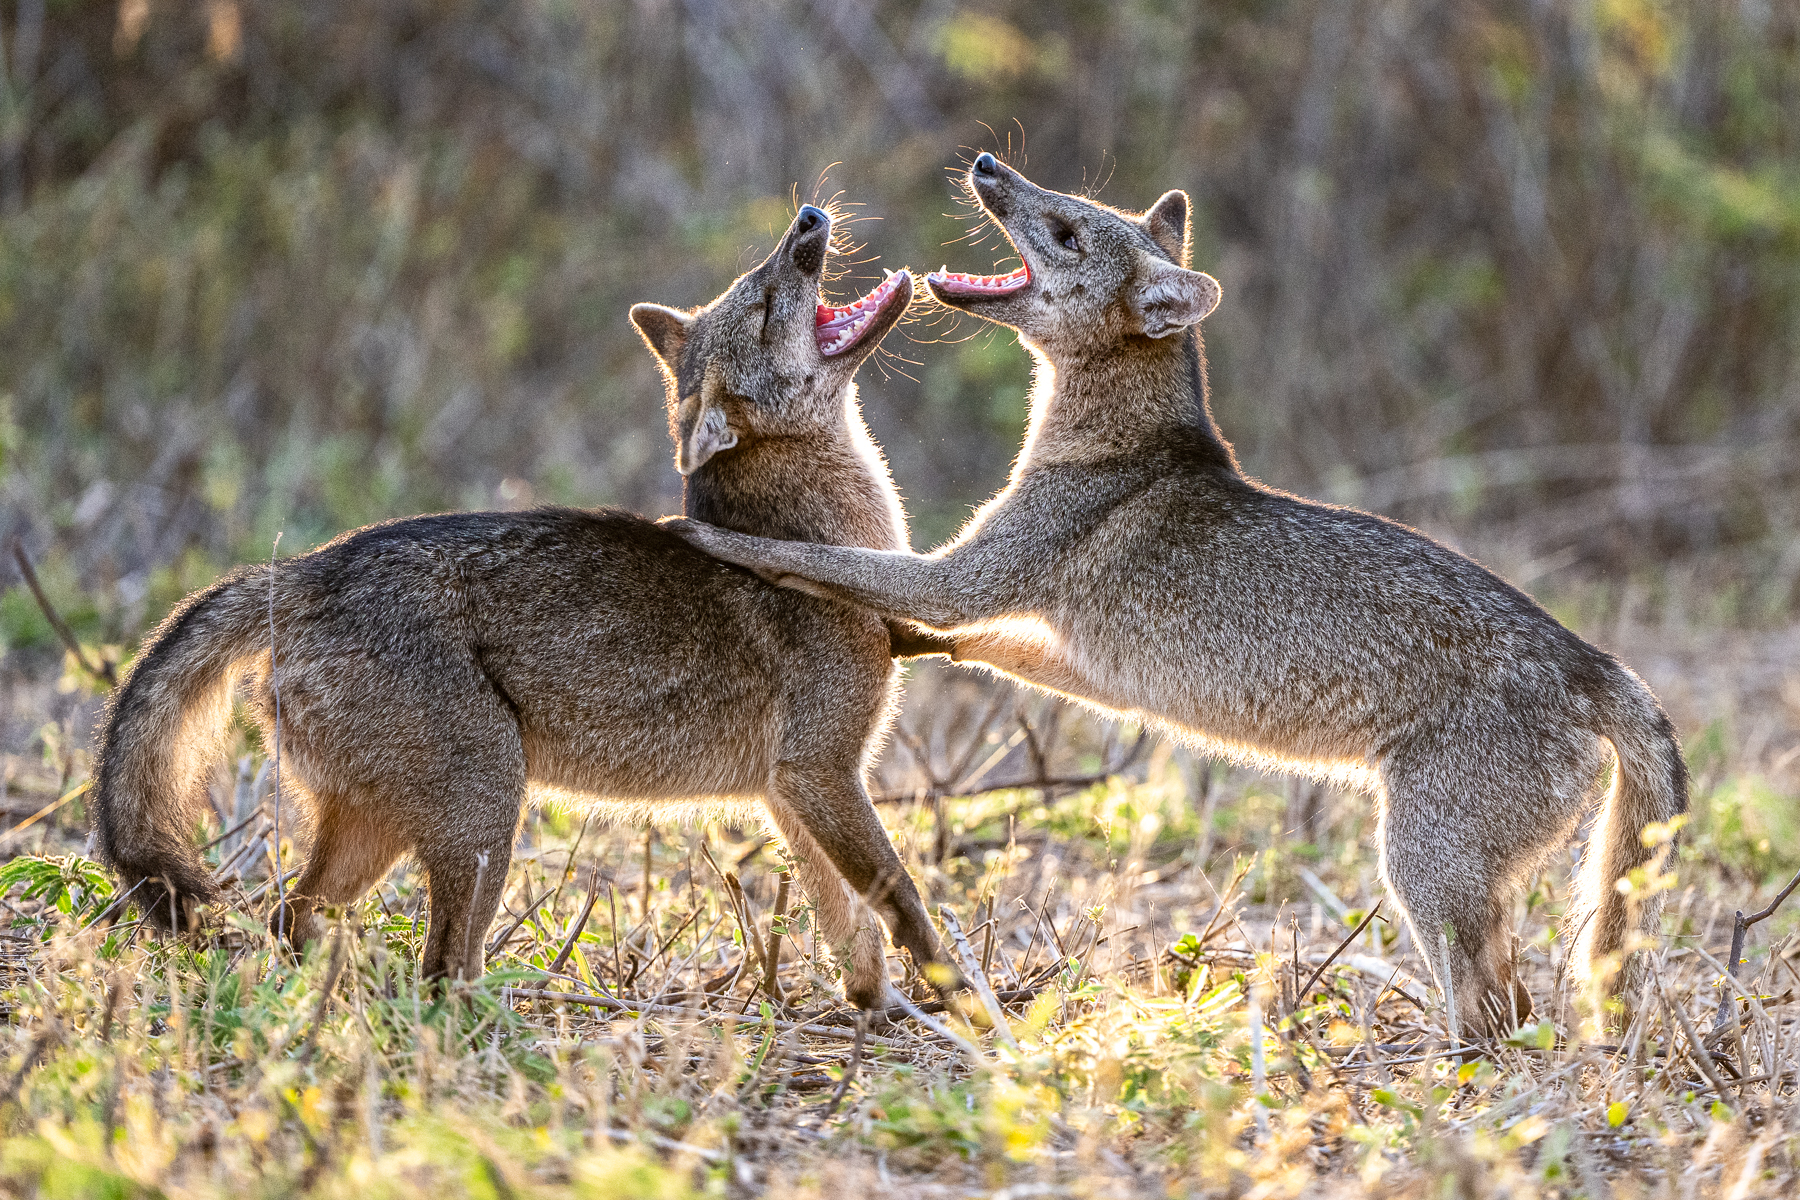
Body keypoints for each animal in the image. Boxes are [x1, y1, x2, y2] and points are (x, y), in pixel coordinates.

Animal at [89, 203, 954, 1010]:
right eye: (769, 301)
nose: (808, 217)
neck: (830, 536)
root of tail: (305, 569)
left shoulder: (787, 792)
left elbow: (852, 932)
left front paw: (883, 1012)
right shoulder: (820, 772)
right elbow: (905, 904)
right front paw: (967, 1008)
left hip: (385, 832)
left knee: (293, 920)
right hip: (486, 816)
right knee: (440, 967)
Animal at [671, 155, 1688, 1033]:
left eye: (1067, 230)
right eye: (1065, 203)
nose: (991, 165)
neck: (1119, 442)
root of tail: (1591, 660)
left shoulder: (968, 577)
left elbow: (837, 562)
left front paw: (709, 534)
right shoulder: (1070, 658)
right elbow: (974, 644)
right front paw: (903, 639)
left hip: (1423, 869)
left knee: (1501, 1014)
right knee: (1521, 1005)